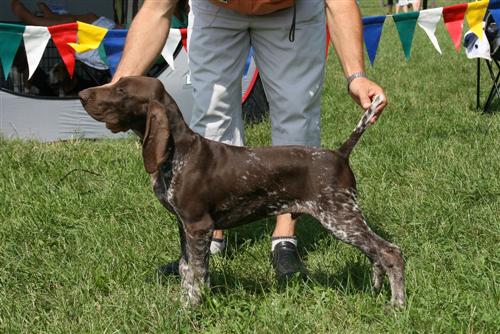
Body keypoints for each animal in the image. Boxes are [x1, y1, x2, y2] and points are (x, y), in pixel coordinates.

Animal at [79, 77, 406, 306]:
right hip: (345, 219)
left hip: (340, 218)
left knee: (390, 252)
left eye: (122, 90)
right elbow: (186, 269)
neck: (177, 152)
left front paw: (191, 308)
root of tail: (339, 154)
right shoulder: (183, 225)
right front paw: (185, 302)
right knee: (375, 254)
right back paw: (377, 289)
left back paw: (397, 305)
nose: (82, 95)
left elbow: (196, 273)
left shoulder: (198, 225)